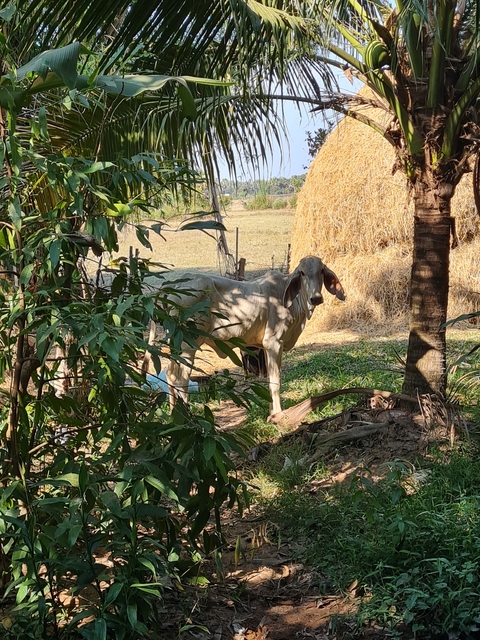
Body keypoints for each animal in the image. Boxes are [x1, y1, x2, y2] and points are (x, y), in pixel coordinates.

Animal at [165, 256, 345, 418]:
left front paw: (272, 412)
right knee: (181, 380)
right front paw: (278, 414)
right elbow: (276, 380)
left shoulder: (266, 347)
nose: (316, 298)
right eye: (302, 273)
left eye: (321, 271)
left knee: (170, 376)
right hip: (189, 346)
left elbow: (269, 379)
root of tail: (175, 286)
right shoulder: (273, 342)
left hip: (176, 345)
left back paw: (174, 416)